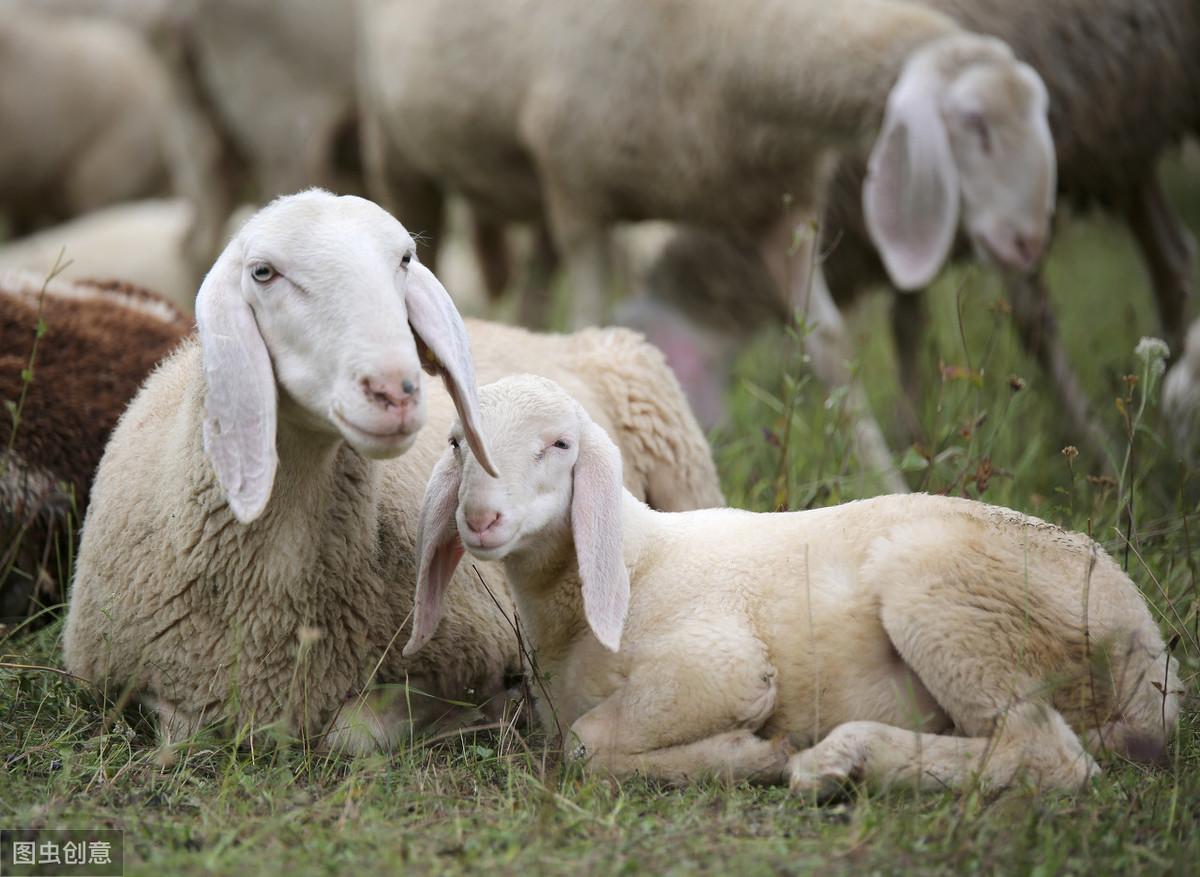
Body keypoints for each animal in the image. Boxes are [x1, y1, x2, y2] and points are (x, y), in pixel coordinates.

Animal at [63, 188, 720, 753]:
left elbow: (352, 735)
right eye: (263, 272)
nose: (394, 389)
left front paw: (480, 714)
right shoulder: (123, 680)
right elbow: (181, 730)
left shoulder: (458, 659)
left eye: (404, 259)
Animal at [360, 0, 1056, 494]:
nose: (1028, 243)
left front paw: (890, 483)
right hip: (402, 153)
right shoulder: (580, 193)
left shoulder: (783, 217)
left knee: (534, 284)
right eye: (974, 123)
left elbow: (833, 354)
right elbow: (586, 322)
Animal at [408, 376, 1176, 796]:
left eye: (561, 445)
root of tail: (1150, 655)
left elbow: (587, 744)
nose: (480, 518)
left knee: (1046, 753)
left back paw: (840, 759)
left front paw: (747, 756)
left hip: (948, 598)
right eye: (455, 443)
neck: (631, 561)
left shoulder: (720, 664)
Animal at [624, 0, 1195, 453]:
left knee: (1169, 260)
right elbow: (907, 323)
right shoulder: (902, 225)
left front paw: (1096, 446)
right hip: (1128, 139)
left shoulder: (984, 216)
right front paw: (913, 436)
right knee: (1172, 257)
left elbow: (1033, 323)